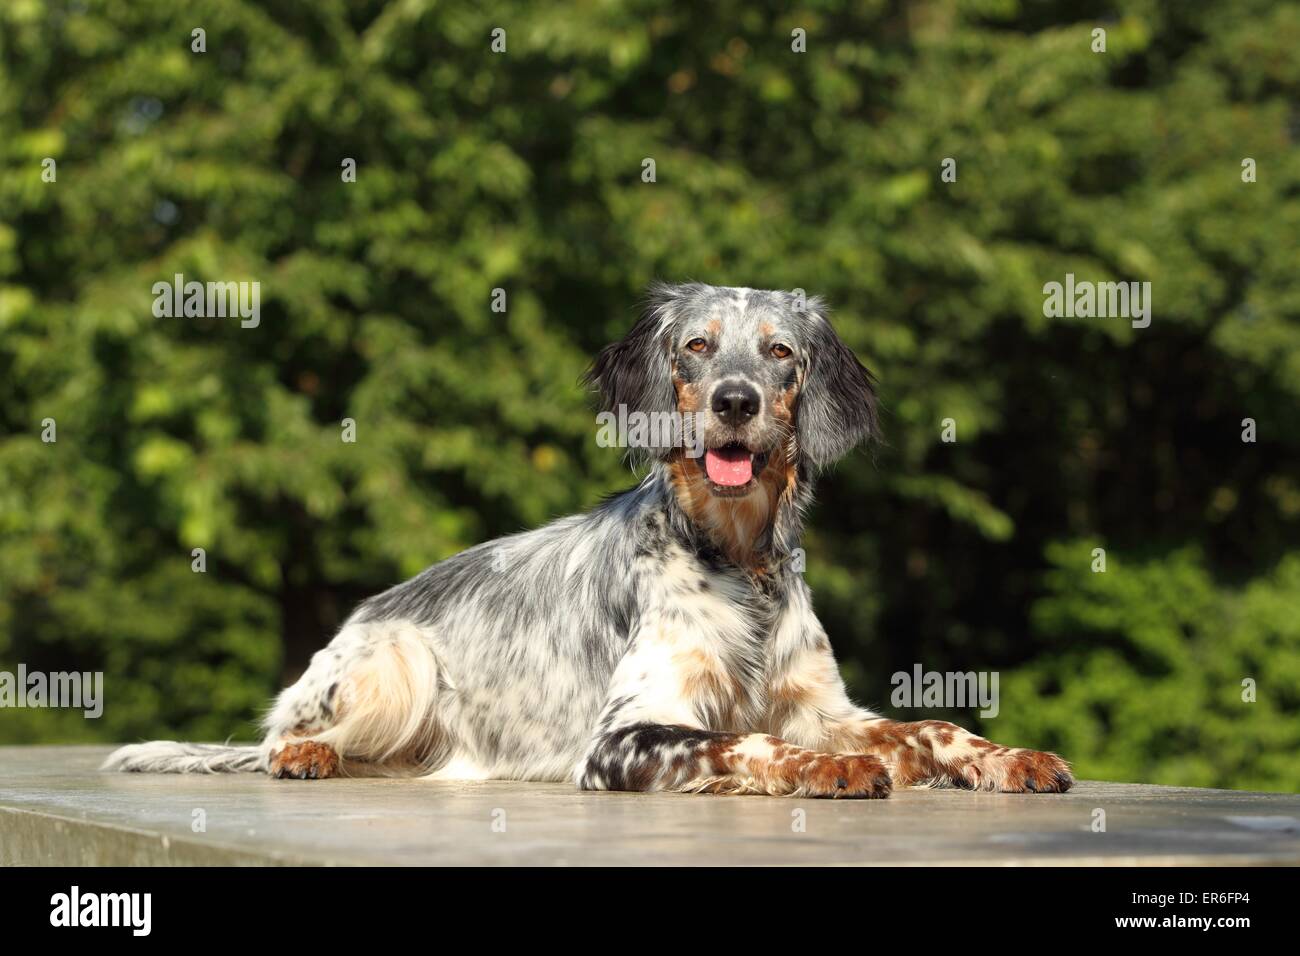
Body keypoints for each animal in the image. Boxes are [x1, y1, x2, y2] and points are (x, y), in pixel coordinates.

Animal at [106, 283, 1071, 801]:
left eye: (781, 355)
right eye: (697, 346)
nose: (736, 402)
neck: (737, 560)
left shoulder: (825, 706)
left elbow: (930, 725)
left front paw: (1006, 756)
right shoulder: (624, 738)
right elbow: (745, 742)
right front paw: (820, 772)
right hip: (395, 662)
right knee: (284, 735)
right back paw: (305, 751)